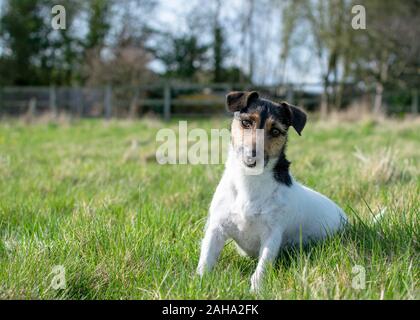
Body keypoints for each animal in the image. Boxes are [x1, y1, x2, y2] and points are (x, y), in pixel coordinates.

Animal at [197, 91, 348, 292]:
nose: (253, 156)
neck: (249, 181)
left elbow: (262, 266)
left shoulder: (272, 234)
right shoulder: (216, 228)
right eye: (246, 123)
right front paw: (199, 282)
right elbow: (206, 258)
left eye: (275, 131)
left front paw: (256, 290)